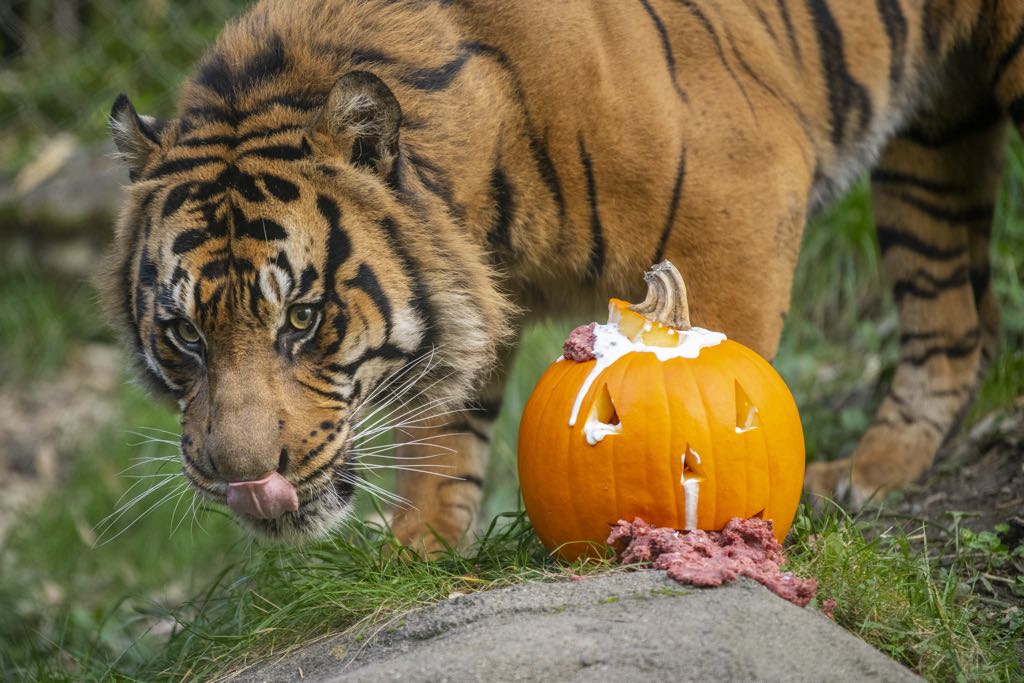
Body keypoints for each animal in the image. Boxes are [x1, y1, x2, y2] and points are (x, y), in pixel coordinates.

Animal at [103, 0, 1024, 552]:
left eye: (300, 318)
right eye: (184, 334)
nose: (242, 479)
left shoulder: (740, 197)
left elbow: (728, 388)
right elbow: (441, 430)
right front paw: (417, 552)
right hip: (933, 146)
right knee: (958, 326)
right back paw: (873, 471)